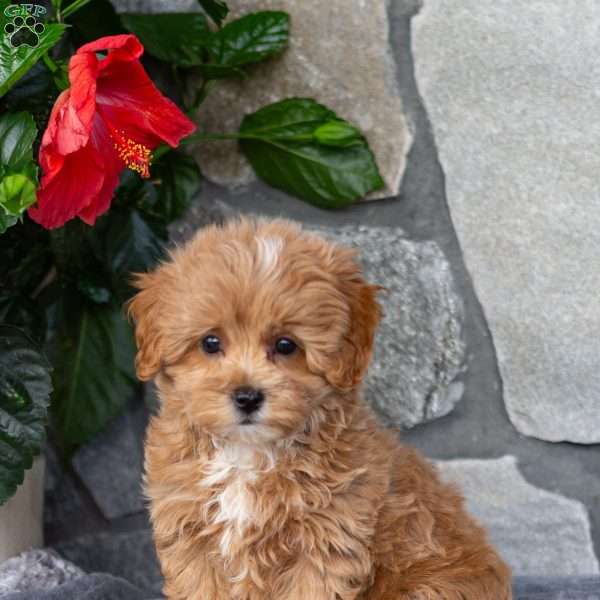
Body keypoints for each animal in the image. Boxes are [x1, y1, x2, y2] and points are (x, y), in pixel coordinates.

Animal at [127, 219, 510, 600]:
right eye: (210, 342)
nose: (247, 396)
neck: (249, 453)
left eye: (286, 345)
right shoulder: (190, 537)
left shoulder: (325, 544)